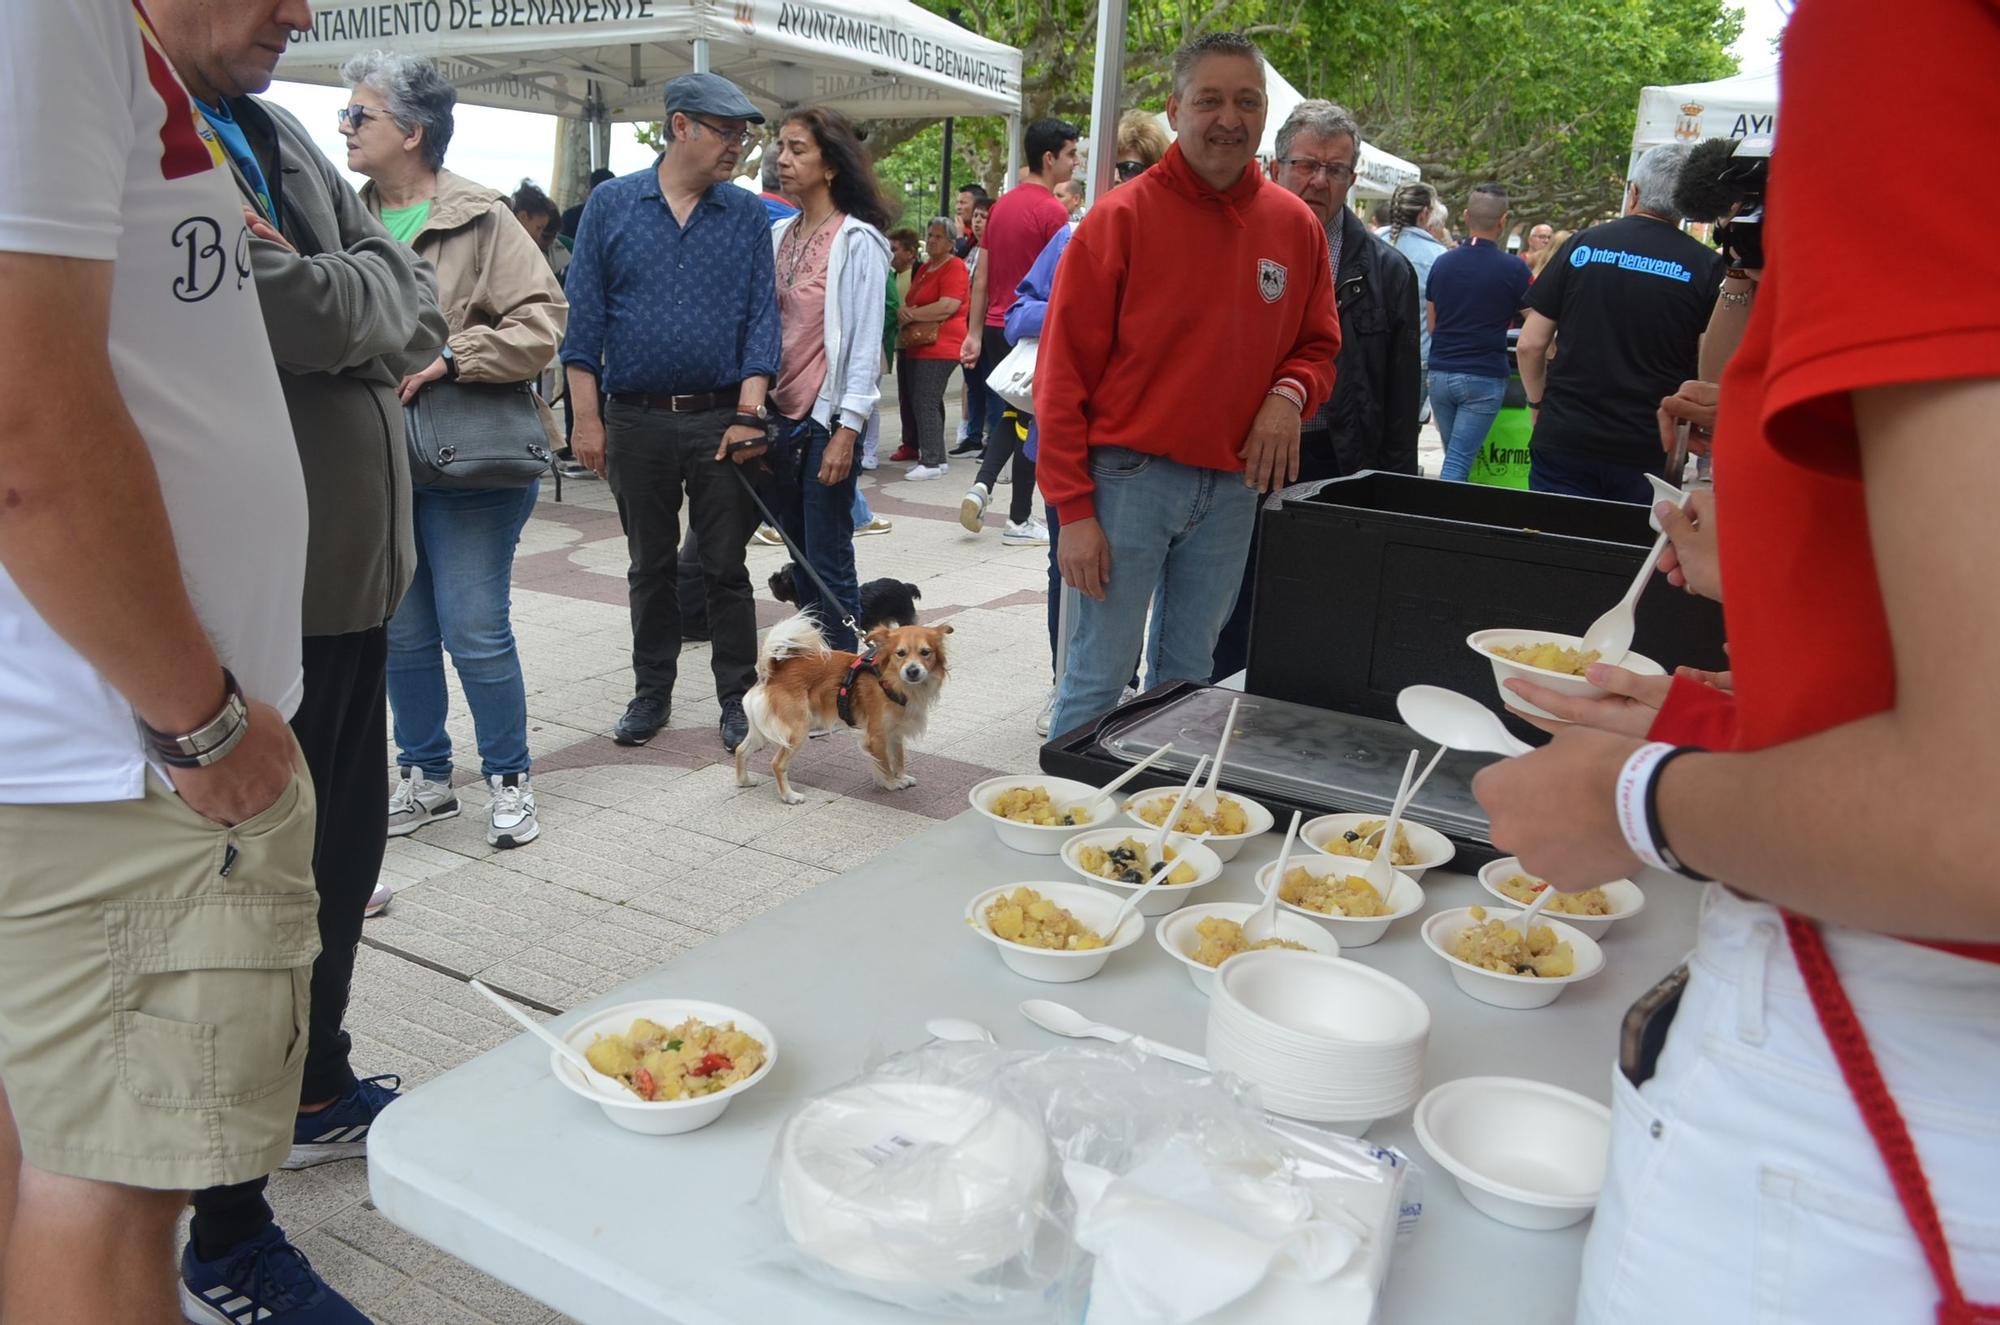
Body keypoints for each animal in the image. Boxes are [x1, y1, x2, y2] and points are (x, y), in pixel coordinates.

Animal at [736, 616, 952, 808]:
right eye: (900, 653)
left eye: (925, 652)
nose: (912, 671)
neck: (891, 681)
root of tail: (773, 672)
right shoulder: (876, 735)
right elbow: (884, 763)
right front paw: (891, 783)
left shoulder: (894, 732)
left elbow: (898, 757)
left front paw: (902, 776)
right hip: (797, 731)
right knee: (777, 764)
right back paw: (789, 796)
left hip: (762, 731)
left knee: (741, 749)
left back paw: (743, 781)